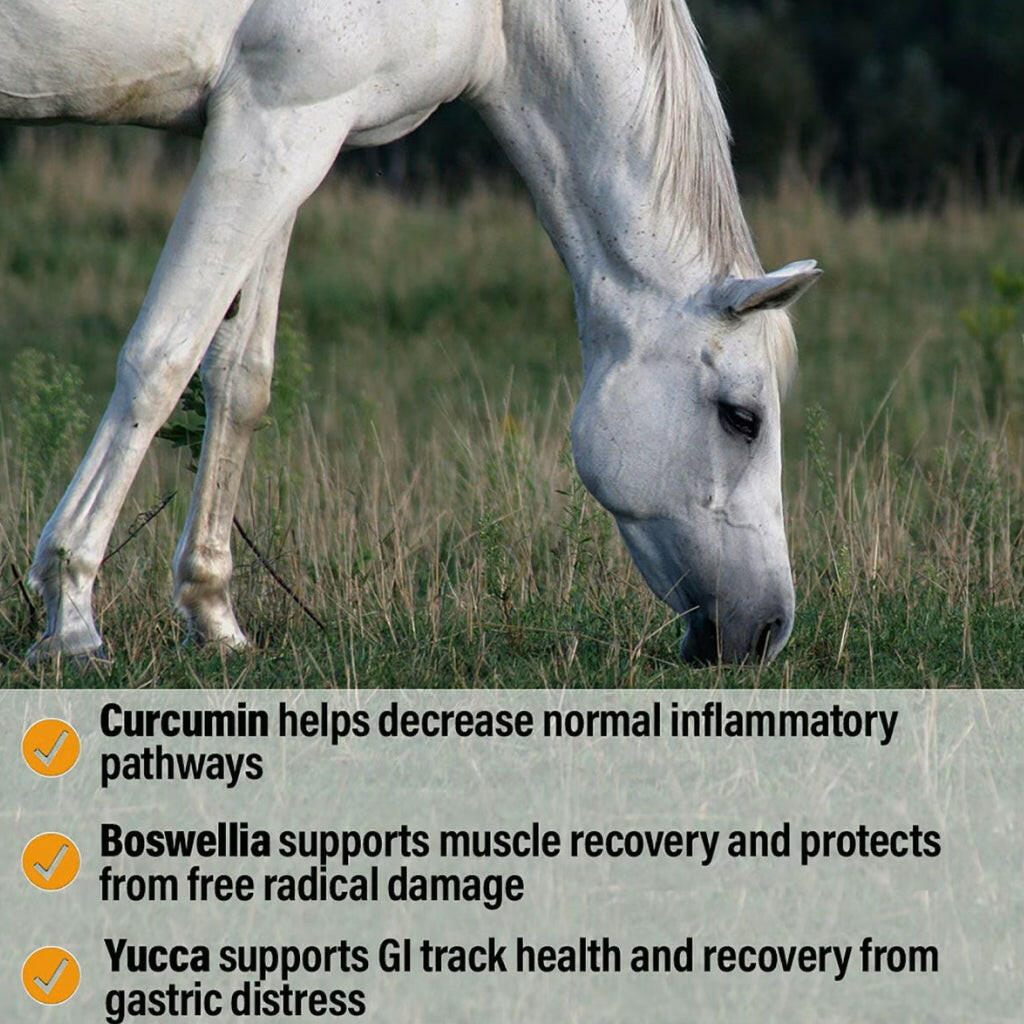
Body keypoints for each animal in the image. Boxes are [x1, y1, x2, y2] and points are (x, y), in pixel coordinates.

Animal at [4, 0, 819, 666]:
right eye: (742, 419)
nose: (769, 630)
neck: (501, 13)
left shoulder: (286, 135)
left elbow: (239, 380)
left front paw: (213, 617)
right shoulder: (275, 117)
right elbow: (161, 358)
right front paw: (71, 614)